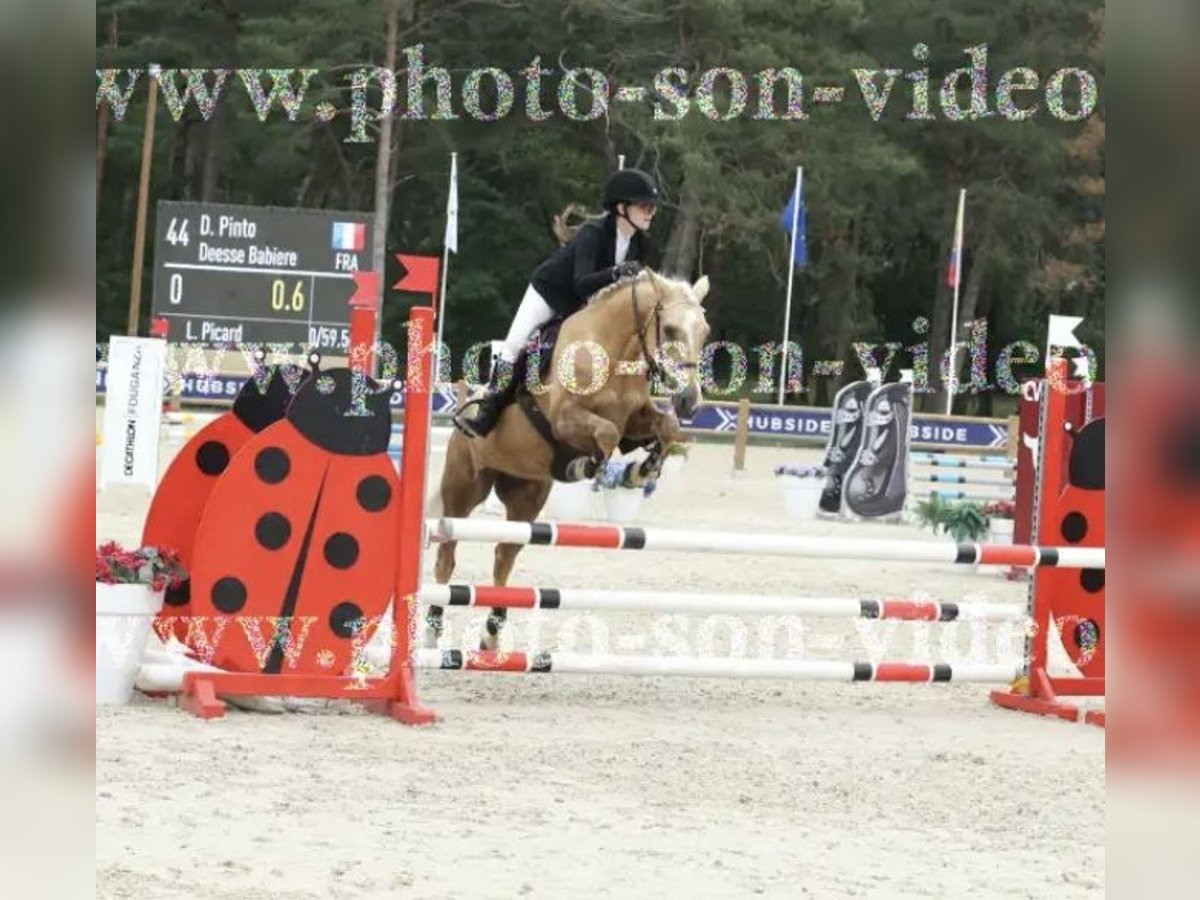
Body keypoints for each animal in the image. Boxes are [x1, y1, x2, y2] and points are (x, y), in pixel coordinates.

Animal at [429, 271, 710, 652]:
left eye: (705, 331)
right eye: (668, 330)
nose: (689, 401)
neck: (612, 351)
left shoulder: (635, 419)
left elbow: (665, 427)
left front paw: (641, 471)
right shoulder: (564, 419)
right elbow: (605, 433)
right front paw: (587, 466)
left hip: (526, 496)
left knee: (504, 555)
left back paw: (491, 635)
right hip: (464, 488)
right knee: (448, 553)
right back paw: (432, 631)